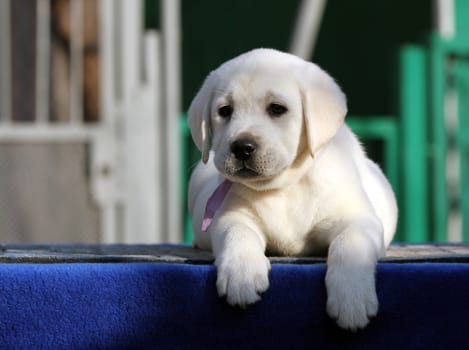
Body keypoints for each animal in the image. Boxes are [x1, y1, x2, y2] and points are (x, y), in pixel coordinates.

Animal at [186, 48, 394, 330]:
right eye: (225, 110)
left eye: (277, 109)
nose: (242, 147)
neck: (285, 186)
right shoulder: (232, 215)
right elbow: (237, 234)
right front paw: (242, 274)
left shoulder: (357, 219)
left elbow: (349, 244)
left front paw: (351, 298)